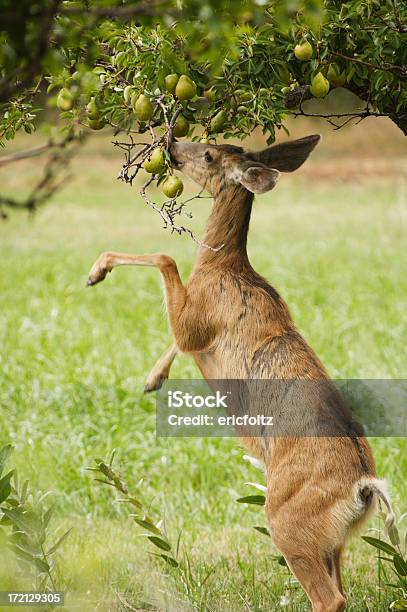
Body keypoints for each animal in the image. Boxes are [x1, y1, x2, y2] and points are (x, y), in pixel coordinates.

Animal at [87, 135, 396, 612]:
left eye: (209, 154)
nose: (172, 145)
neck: (225, 267)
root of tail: (363, 487)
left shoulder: (198, 319)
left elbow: (167, 260)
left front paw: (96, 270)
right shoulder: (198, 329)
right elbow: (177, 334)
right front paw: (153, 378)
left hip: (286, 521)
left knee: (329, 598)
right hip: (333, 541)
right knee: (340, 588)